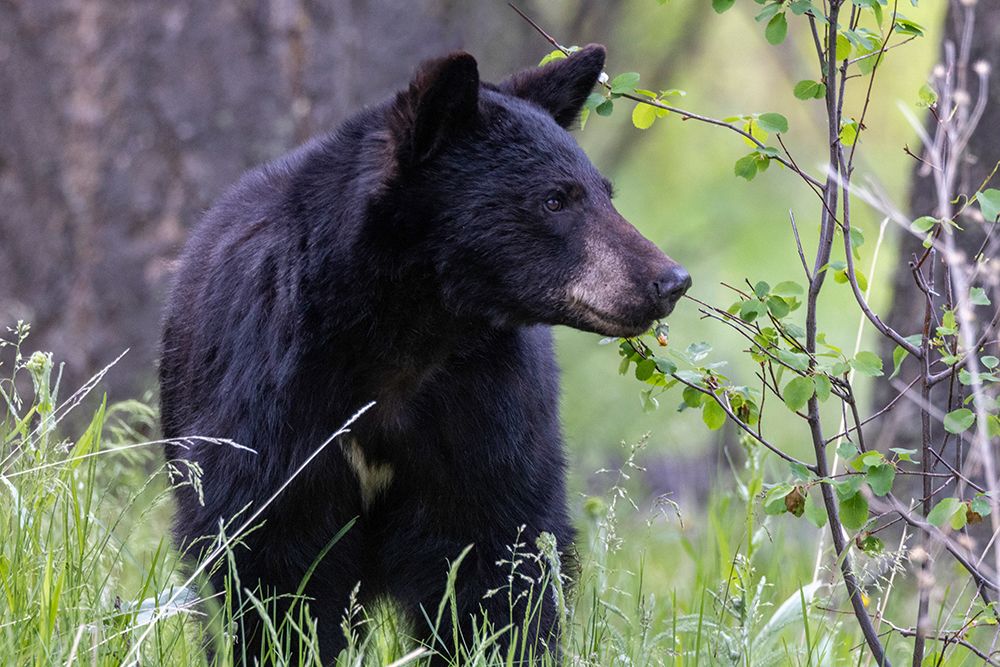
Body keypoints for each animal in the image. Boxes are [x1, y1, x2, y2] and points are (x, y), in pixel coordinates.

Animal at [159, 44, 690, 665]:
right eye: (555, 199)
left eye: (606, 192)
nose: (669, 280)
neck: (408, 330)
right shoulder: (270, 390)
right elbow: (270, 555)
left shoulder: (486, 402)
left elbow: (496, 553)